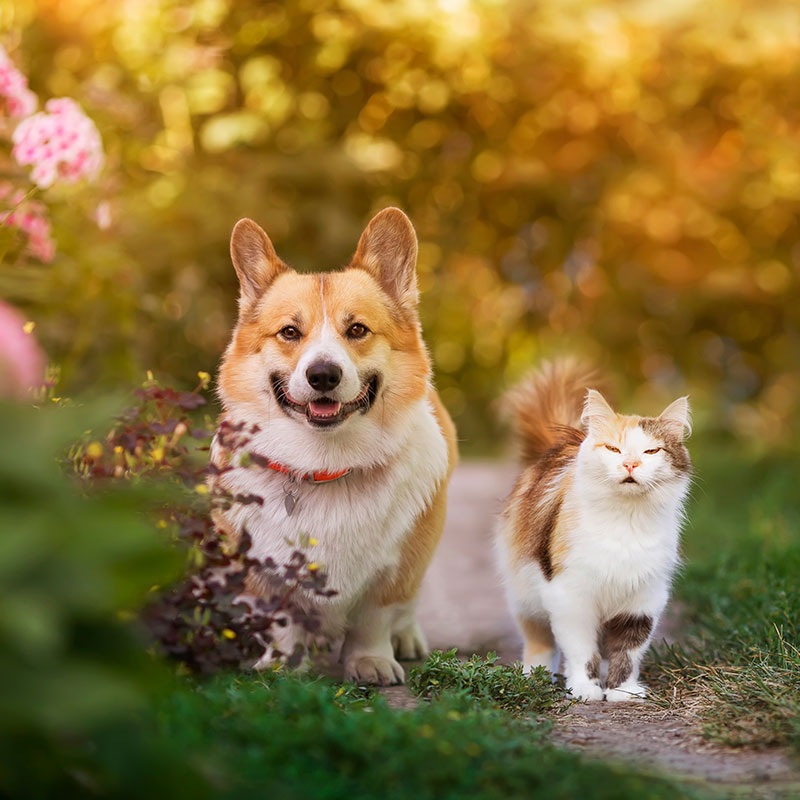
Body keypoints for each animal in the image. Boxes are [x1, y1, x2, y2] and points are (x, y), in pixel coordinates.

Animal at [211, 208, 456, 688]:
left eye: (357, 329)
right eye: (290, 332)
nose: (323, 374)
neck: (326, 465)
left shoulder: (394, 571)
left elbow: (374, 618)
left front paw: (372, 661)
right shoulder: (265, 573)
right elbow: (283, 621)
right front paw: (283, 664)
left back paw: (408, 638)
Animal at [496, 360, 692, 704]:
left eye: (651, 452)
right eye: (614, 449)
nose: (630, 465)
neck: (625, 520)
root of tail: (561, 442)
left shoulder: (643, 599)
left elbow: (628, 651)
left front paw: (622, 691)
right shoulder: (571, 596)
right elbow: (580, 650)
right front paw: (585, 689)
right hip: (526, 596)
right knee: (539, 642)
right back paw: (535, 678)